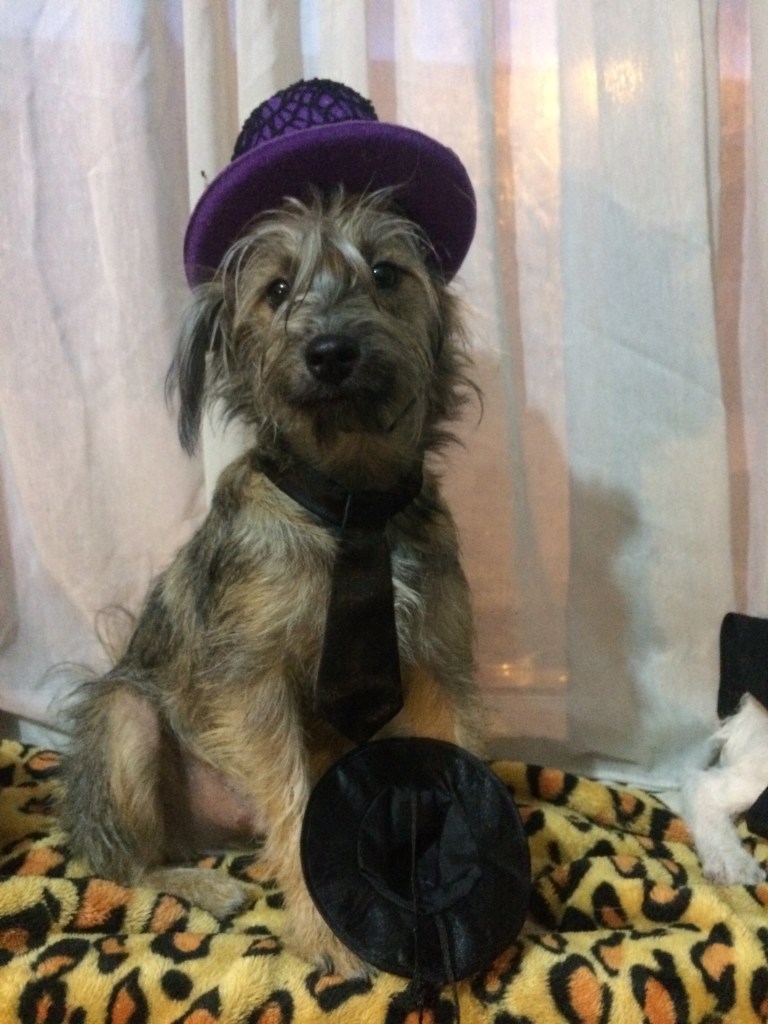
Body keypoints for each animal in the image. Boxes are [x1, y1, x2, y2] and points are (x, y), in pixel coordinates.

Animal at [60, 186, 484, 976]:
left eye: (385, 273)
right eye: (278, 290)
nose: (330, 352)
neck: (351, 500)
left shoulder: (442, 670)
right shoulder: (252, 686)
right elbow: (294, 805)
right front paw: (329, 931)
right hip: (125, 719)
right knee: (126, 865)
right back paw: (203, 884)